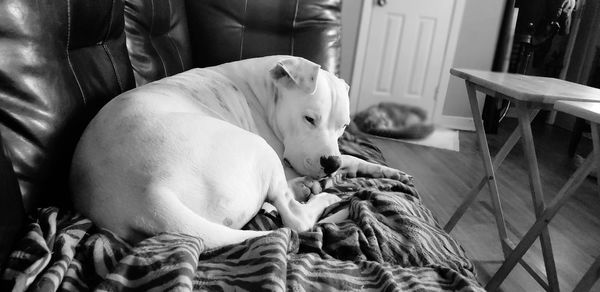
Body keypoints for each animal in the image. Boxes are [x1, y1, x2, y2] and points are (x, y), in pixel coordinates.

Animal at [70, 55, 400, 249]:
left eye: (343, 126)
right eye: (309, 119)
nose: (330, 163)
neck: (267, 90)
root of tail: (149, 194)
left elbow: (353, 158)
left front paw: (385, 170)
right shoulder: (286, 157)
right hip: (259, 149)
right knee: (295, 217)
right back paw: (325, 197)